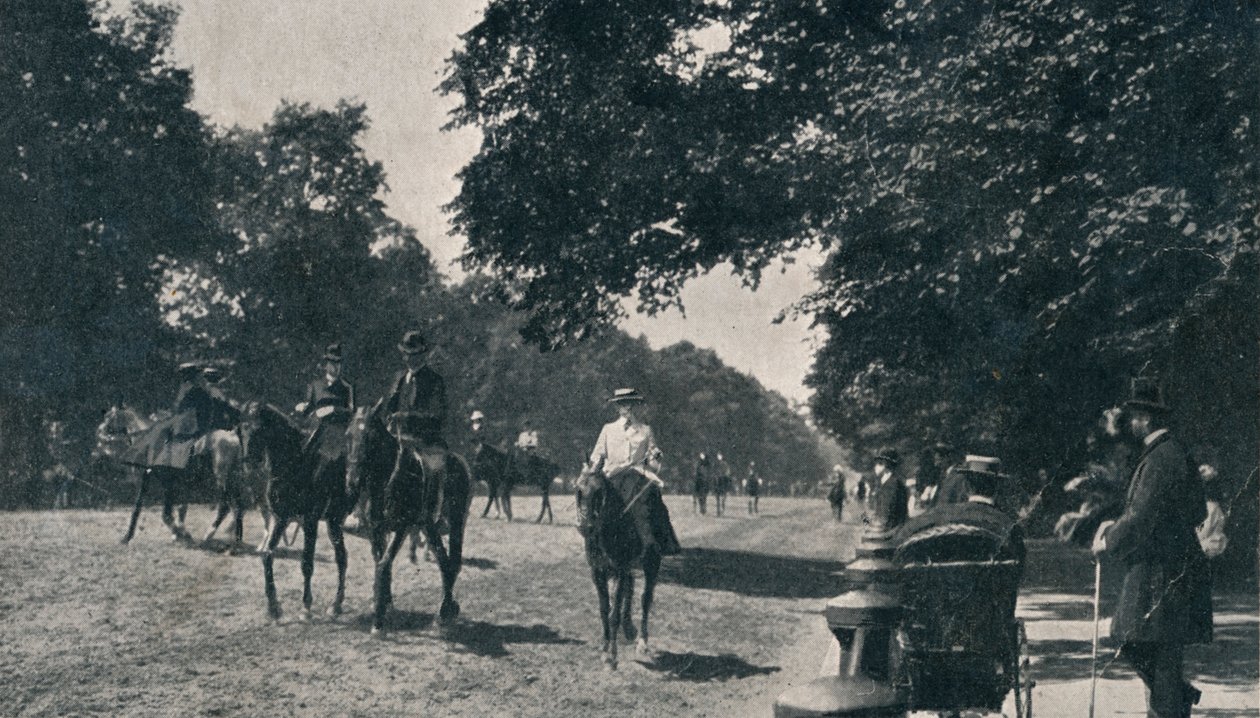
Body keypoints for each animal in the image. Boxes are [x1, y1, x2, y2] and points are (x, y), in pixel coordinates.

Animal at [244, 400, 360, 617]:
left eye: (259, 428)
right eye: (242, 428)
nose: (249, 462)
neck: (297, 464)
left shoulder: (310, 521)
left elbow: (307, 562)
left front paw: (306, 606)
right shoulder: (281, 518)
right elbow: (267, 555)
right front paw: (273, 606)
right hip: (333, 522)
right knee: (342, 557)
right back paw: (336, 604)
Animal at [347, 403, 473, 632]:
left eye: (370, 437)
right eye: (347, 435)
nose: (353, 481)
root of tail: (458, 460)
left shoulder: (402, 527)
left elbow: (384, 563)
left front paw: (378, 619)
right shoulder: (376, 528)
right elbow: (380, 562)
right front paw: (384, 605)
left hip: (457, 519)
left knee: (453, 562)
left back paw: (446, 610)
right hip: (429, 526)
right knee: (443, 561)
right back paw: (446, 610)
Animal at [577, 461, 665, 670]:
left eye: (599, 491)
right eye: (578, 490)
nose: (585, 526)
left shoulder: (619, 570)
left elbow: (614, 614)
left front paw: (612, 656)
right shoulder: (598, 572)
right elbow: (604, 609)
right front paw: (605, 647)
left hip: (651, 563)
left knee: (645, 599)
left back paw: (642, 642)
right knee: (630, 590)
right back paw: (629, 629)